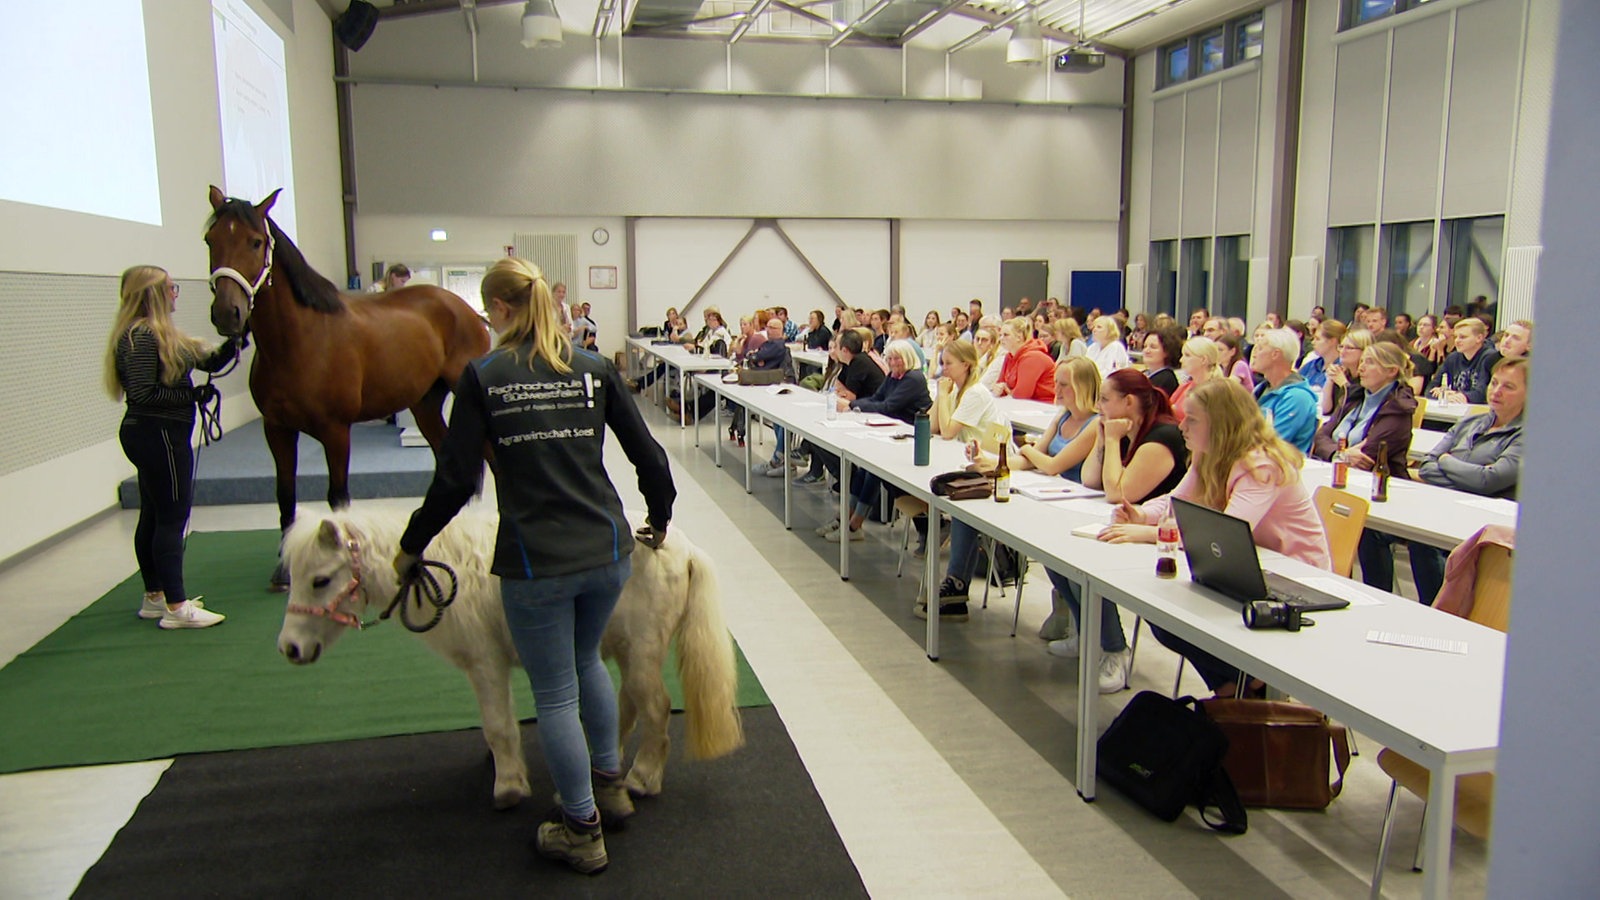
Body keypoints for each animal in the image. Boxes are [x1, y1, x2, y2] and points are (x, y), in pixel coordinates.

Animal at [208, 185, 492, 586]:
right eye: (210, 240)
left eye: (255, 241)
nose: (226, 313)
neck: (298, 342)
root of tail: (466, 309)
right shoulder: (276, 429)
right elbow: (285, 495)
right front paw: (283, 570)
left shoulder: (336, 431)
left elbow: (338, 497)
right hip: (424, 404)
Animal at [276, 506, 748, 807]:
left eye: (320, 580)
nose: (290, 649)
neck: (450, 569)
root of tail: (681, 548)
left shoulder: (485, 665)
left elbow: (498, 727)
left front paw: (508, 787)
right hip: (627, 651)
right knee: (627, 707)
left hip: (642, 650)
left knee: (655, 709)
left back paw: (642, 779)